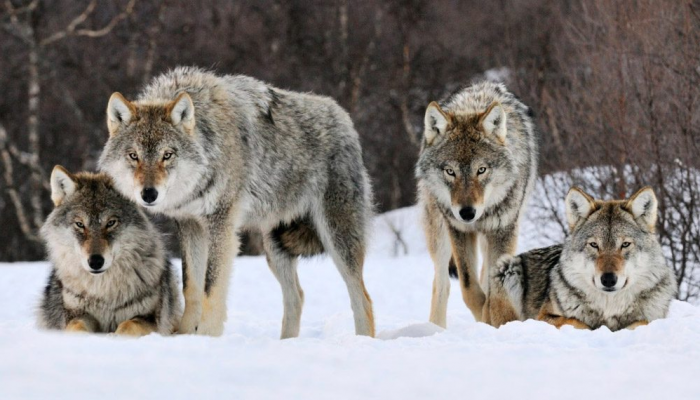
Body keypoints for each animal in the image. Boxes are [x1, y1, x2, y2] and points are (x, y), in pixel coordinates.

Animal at [37, 167, 180, 336]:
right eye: (80, 224)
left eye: (111, 223)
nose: (95, 261)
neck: (104, 292)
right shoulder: (76, 314)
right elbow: (77, 327)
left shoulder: (150, 319)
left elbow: (128, 326)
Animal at [97, 66, 378, 338]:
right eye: (134, 156)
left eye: (167, 155)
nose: (149, 194)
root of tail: (344, 117)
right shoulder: (190, 225)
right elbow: (191, 287)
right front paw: (185, 336)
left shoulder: (221, 224)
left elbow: (211, 288)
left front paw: (206, 337)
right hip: (275, 247)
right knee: (297, 297)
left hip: (337, 239)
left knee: (362, 298)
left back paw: (362, 341)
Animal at [412, 79, 540, 326]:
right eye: (450, 171)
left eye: (481, 170)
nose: (467, 213)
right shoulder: (459, 230)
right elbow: (469, 288)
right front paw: (484, 318)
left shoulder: (504, 230)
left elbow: (493, 288)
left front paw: (495, 320)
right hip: (439, 234)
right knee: (441, 284)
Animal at [486, 186, 680, 330]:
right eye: (594, 245)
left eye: (625, 244)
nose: (608, 279)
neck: (609, 308)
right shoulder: (543, 317)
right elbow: (576, 322)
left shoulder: (653, 318)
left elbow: (641, 322)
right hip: (507, 267)